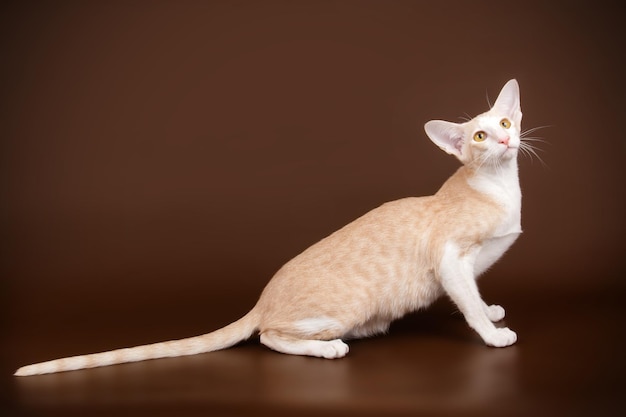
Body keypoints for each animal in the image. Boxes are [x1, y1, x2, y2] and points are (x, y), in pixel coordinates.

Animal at [15, 79, 528, 376]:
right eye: (479, 136)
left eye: (505, 122)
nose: (504, 140)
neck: (500, 189)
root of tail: (262, 299)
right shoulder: (451, 257)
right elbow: (467, 302)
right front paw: (492, 334)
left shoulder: (466, 267)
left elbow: (474, 295)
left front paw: (492, 311)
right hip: (340, 310)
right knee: (268, 337)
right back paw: (328, 350)